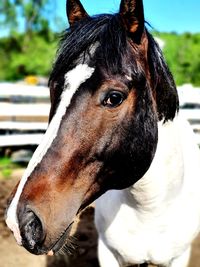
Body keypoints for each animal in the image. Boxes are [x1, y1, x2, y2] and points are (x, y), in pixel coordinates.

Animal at [4, 0, 200, 267]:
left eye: (114, 97)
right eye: (54, 90)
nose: (21, 220)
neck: (149, 210)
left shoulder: (179, 257)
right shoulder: (109, 253)